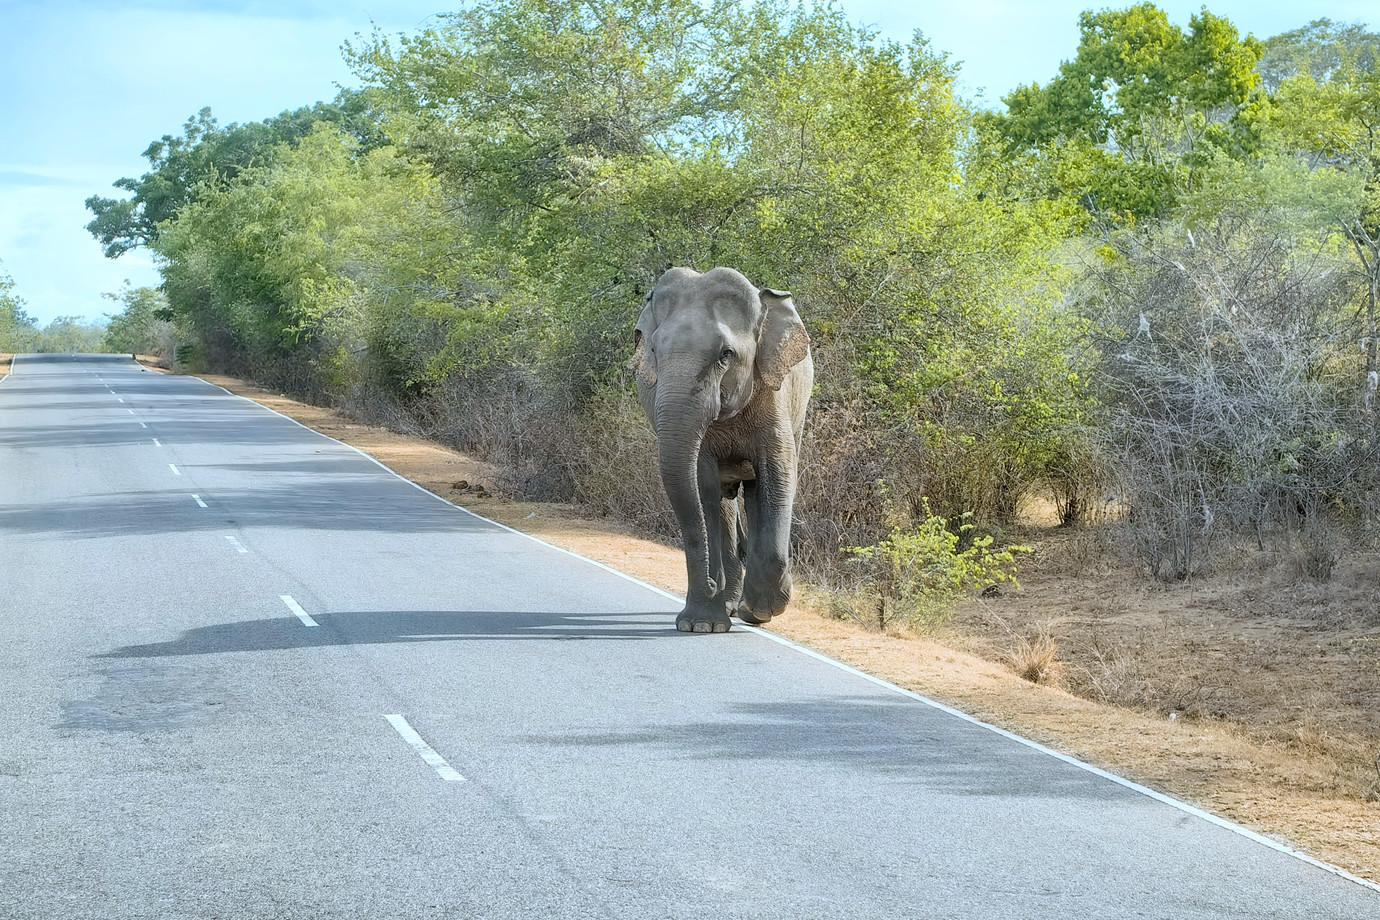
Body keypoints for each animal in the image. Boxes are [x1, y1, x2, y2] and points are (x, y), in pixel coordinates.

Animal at [632, 266, 811, 634]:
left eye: (726, 354)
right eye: (653, 349)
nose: (711, 583)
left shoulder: (774, 397)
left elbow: (780, 475)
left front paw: (762, 608)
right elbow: (703, 487)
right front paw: (702, 625)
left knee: (756, 491)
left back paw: (747, 607)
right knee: (725, 503)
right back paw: (729, 604)